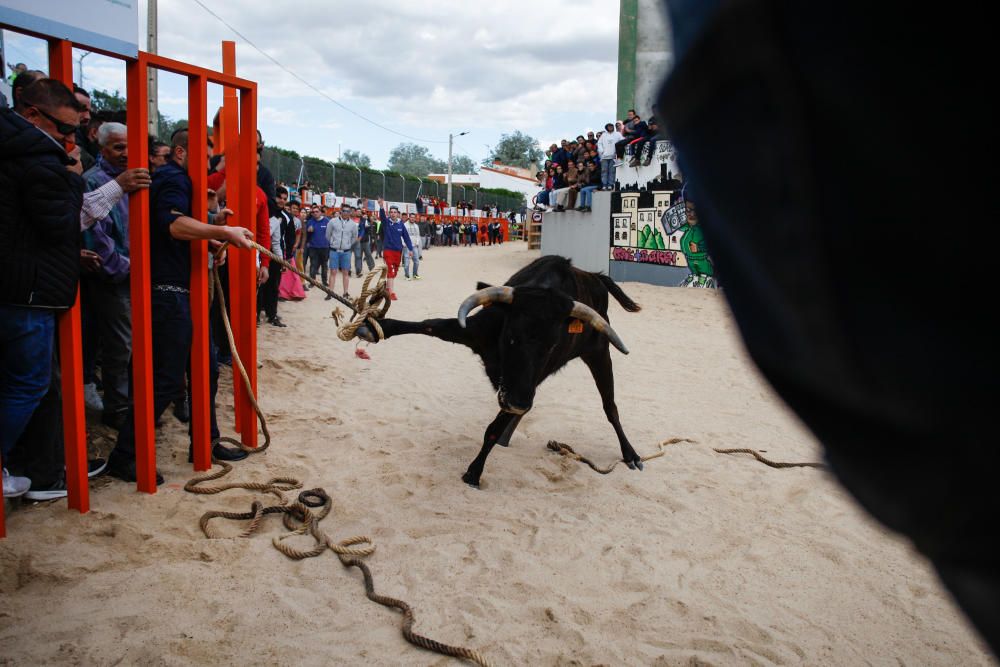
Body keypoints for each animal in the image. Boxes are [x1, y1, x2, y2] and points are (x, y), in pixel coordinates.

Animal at [356, 256, 644, 486]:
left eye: (552, 345)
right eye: (513, 336)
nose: (518, 402)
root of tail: (596, 277)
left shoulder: (522, 388)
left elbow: (494, 428)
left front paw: (474, 472)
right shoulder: (473, 331)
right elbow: (430, 324)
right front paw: (373, 328)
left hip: (599, 354)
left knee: (610, 407)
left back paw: (631, 454)